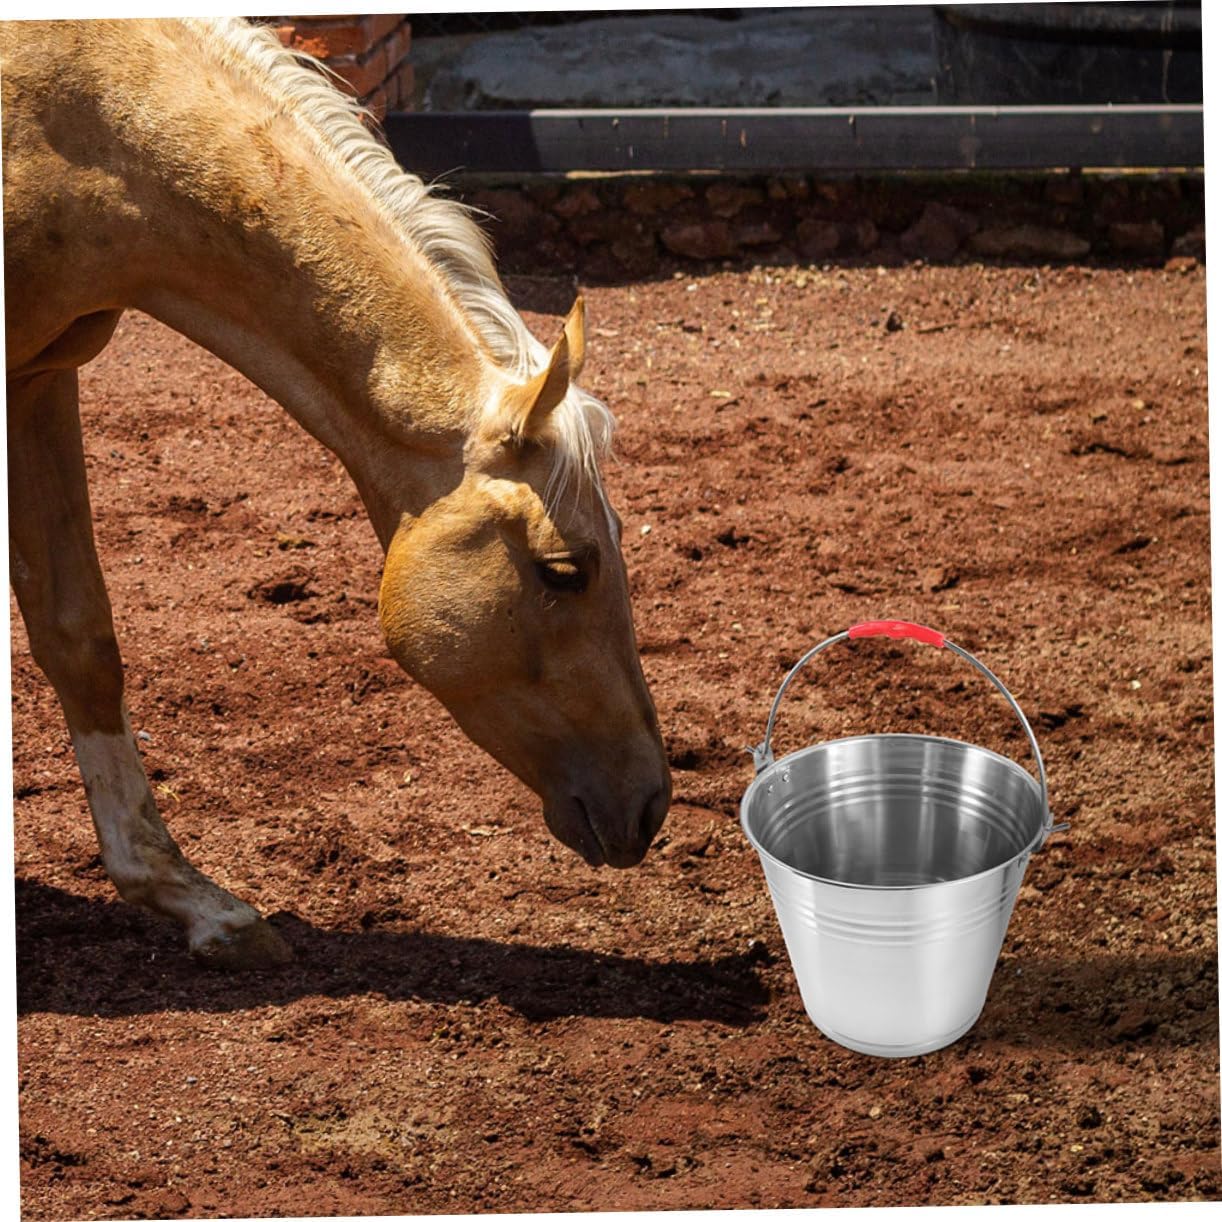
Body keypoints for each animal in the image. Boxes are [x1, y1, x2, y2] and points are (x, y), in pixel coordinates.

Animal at [3, 17, 671, 970]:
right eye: (564, 571)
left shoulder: (37, 380)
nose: (650, 802)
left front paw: (193, 900)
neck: (67, 112)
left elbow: (79, 637)